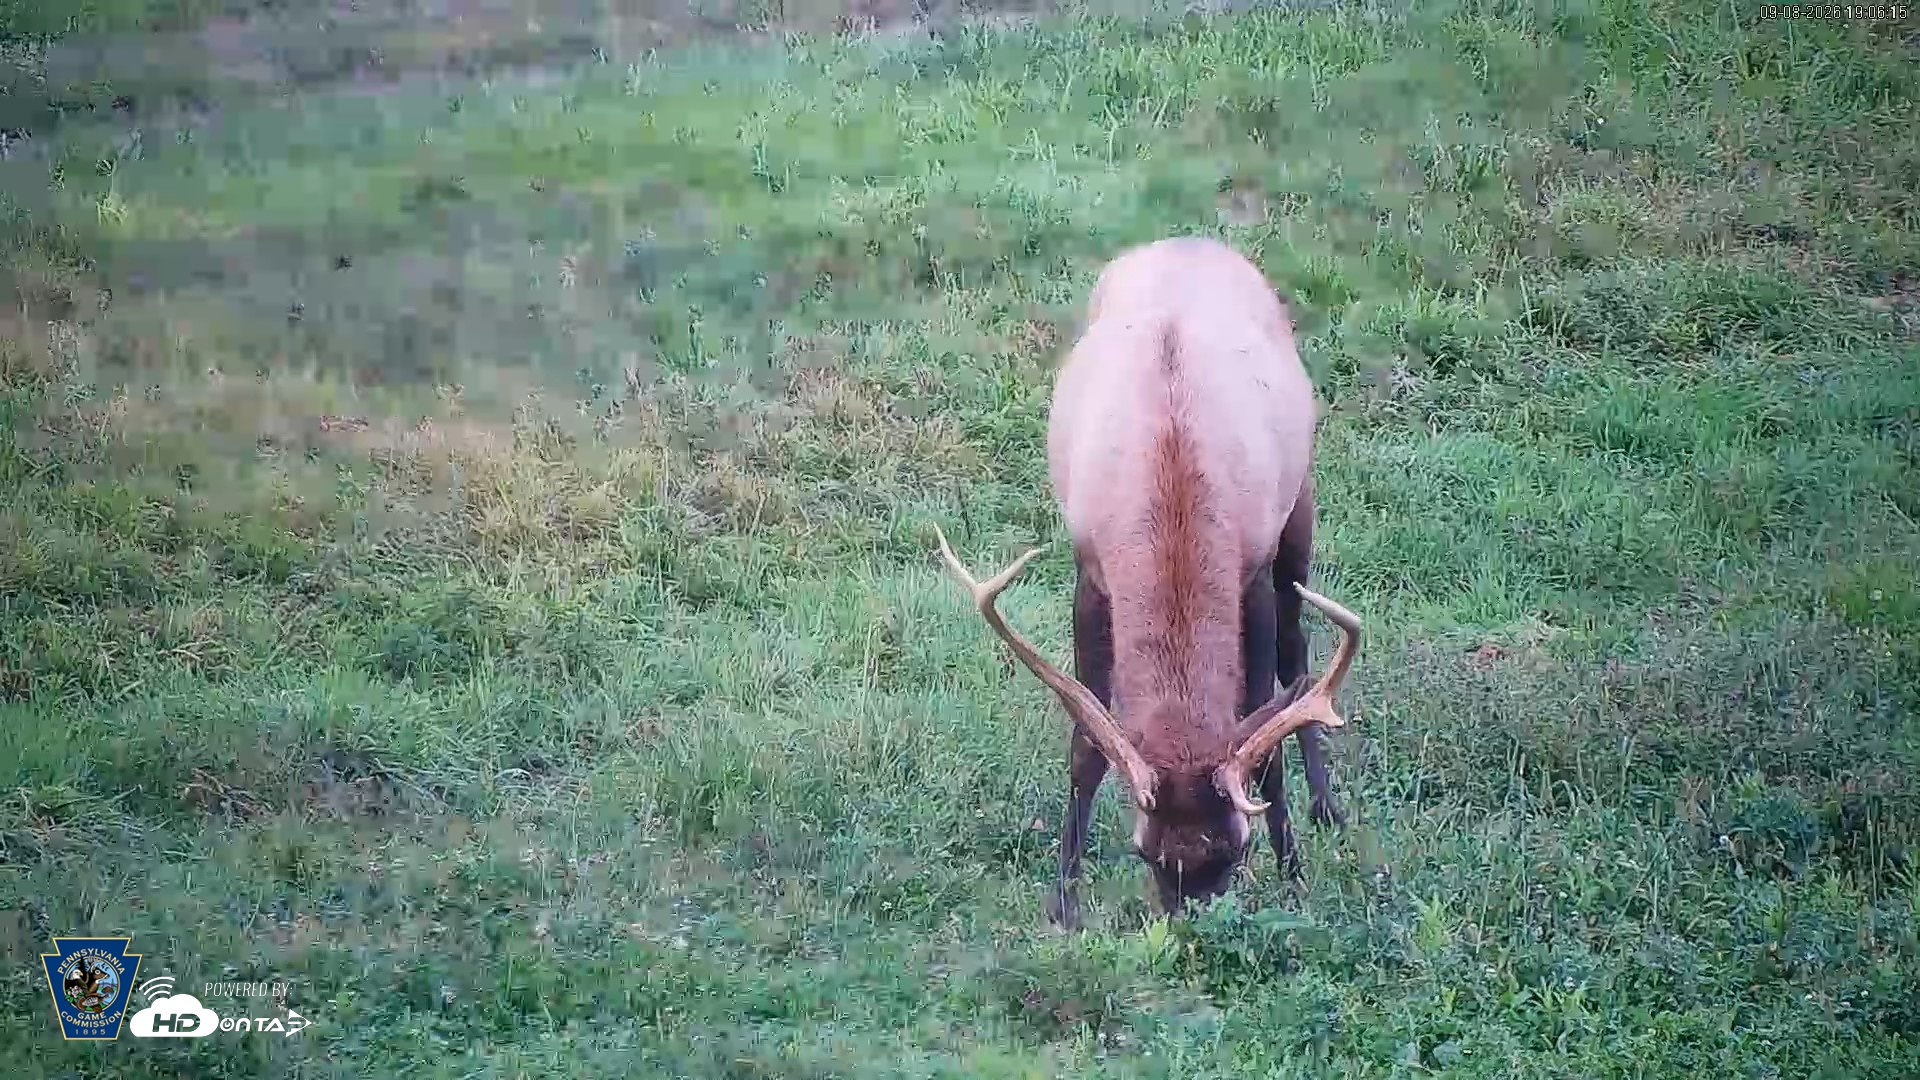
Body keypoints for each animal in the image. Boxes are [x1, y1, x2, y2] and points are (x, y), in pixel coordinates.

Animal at [935, 235, 1360, 929]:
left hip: (1300, 506)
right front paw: (1064, 900)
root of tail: (1193, 240)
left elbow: (1263, 732)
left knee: (1298, 652)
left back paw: (1327, 806)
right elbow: (1086, 740)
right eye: (1145, 851)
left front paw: (1294, 876)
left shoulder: (1251, 567)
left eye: (1236, 850)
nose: (1192, 928)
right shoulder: (1089, 568)